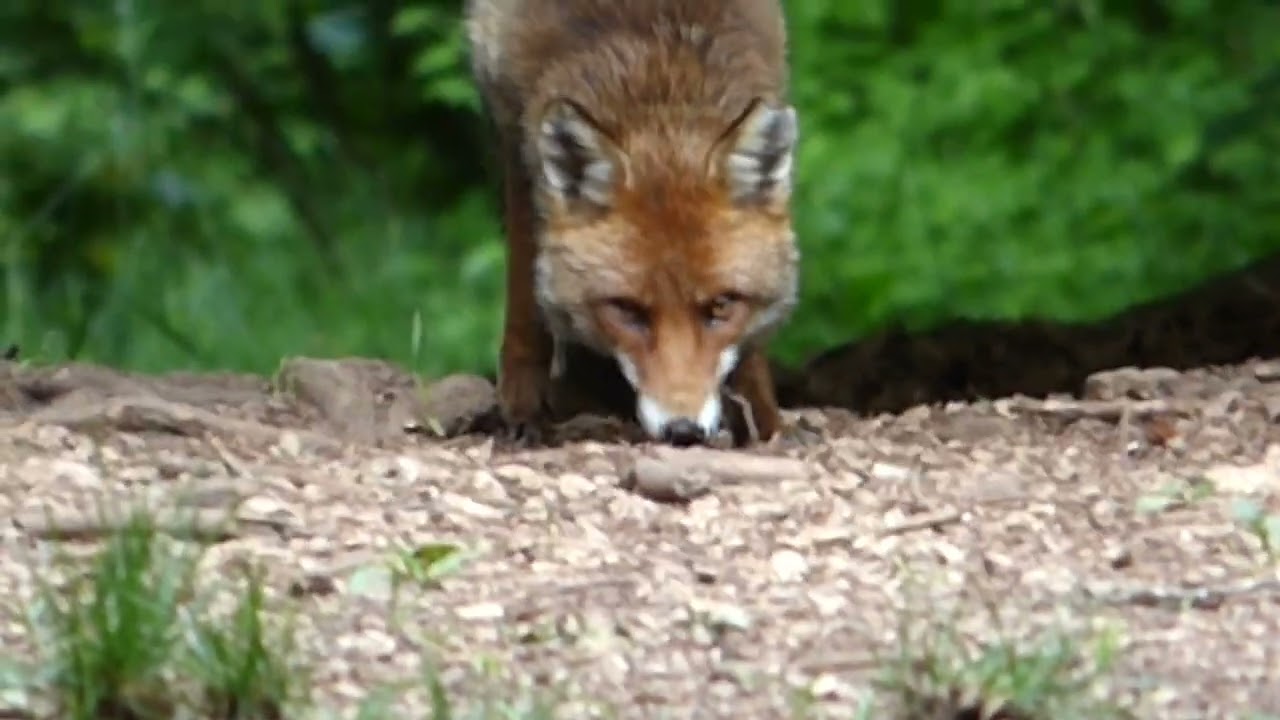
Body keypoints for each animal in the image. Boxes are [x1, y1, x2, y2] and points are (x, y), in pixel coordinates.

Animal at [464, 0, 801, 447]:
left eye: (722, 305)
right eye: (625, 309)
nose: (683, 430)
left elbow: (749, 346)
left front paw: (762, 422)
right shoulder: (511, 118)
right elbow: (525, 300)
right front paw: (524, 410)